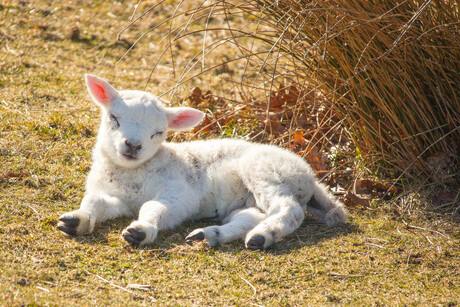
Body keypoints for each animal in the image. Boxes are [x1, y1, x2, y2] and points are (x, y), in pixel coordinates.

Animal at [55, 74, 346, 250]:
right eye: (113, 118)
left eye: (158, 132)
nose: (133, 145)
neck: (131, 175)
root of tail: (311, 177)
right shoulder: (116, 198)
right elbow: (94, 202)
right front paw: (76, 221)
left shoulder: (180, 194)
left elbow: (153, 207)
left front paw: (140, 231)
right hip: (247, 200)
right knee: (249, 217)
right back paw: (210, 235)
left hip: (269, 173)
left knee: (289, 210)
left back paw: (262, 236)